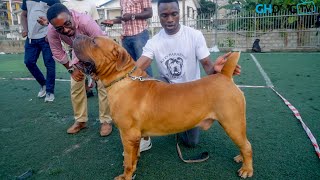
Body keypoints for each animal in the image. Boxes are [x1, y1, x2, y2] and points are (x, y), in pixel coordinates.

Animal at [72, 35, 252, 180]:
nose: (75, 36)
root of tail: (225, 76)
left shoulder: (128, 134)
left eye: (94, 41)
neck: (123, 79)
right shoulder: (134, 136)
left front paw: (125, 176)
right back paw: (240, 158)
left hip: (232, 123)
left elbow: (128, 161)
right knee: (243, 143)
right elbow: (133, 157)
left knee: (247, 145)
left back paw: (246, 169)